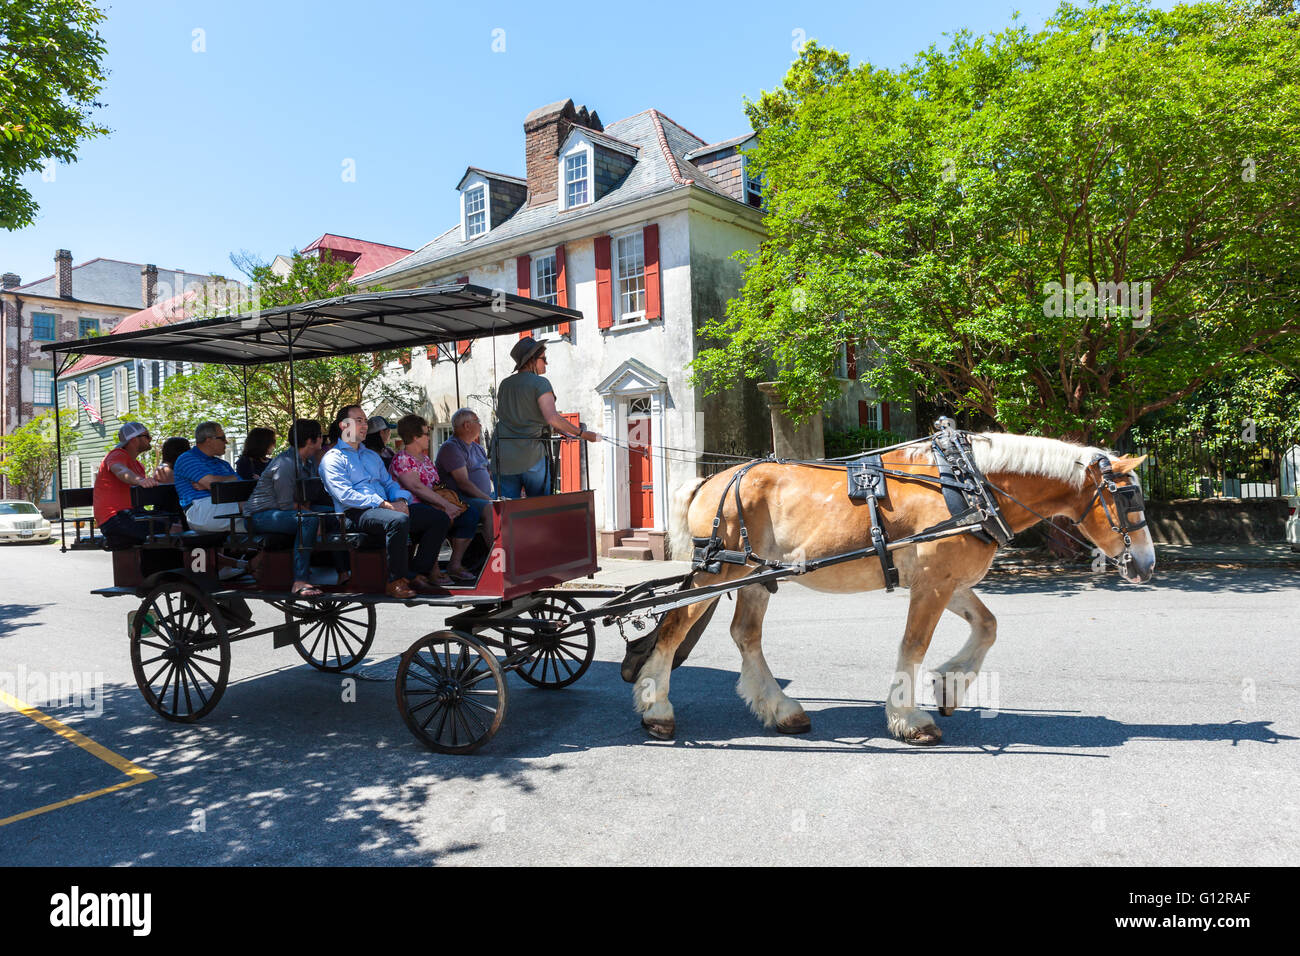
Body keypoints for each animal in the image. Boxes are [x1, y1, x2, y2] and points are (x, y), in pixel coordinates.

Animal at [624, 434, 1154, 749]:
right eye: (1127, 495)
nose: (1146, 565)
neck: (968, 486)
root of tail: (710, 480)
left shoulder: (947, 581)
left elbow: (988, 626)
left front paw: (950, 683)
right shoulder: (933, 583)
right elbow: (914, 644)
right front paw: (907, 716)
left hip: (755, 576)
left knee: (745, 635)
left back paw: (782, 709)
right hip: (716, 574)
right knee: (674, 625)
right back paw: (657, 708)